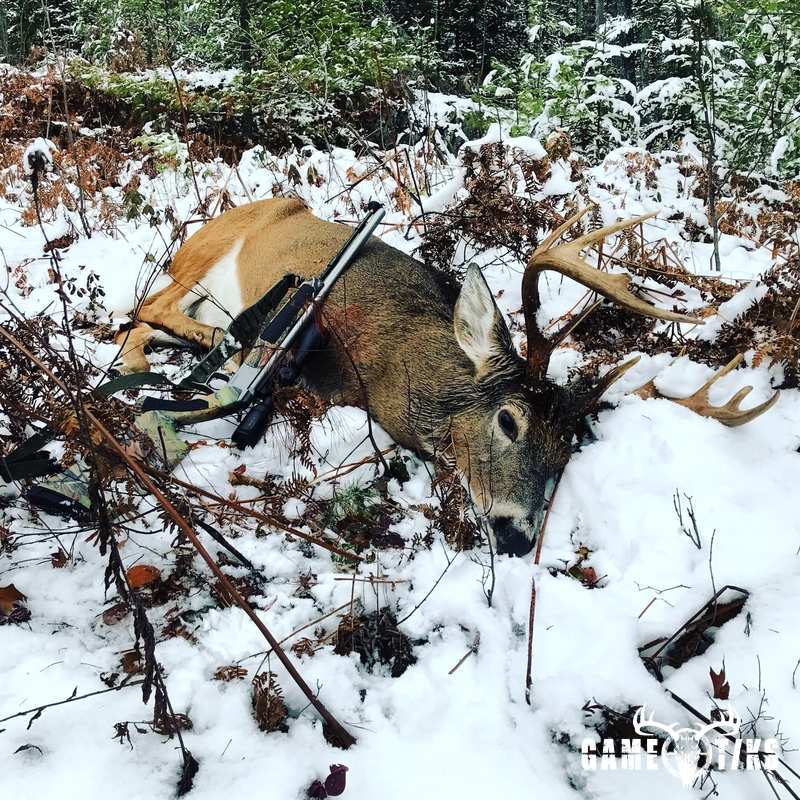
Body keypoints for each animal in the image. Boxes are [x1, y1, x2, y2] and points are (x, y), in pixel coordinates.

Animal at [115, 198, 778, 556]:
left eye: (566, 451)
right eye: (508, 420)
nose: (515, 535)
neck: (397, 364)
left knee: (143, 327)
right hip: (202, 257)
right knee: (148, 306)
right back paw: (208, 348)